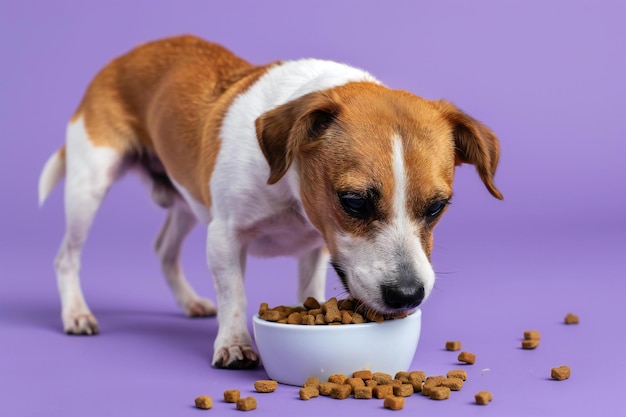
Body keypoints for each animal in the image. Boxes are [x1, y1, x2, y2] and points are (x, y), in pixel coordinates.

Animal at [37, 35, 502, 368]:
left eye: (437, 207)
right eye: (354, 202)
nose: (408, 295)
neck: (289, 193)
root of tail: (127, 55)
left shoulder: (316, 247)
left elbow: (308, 289)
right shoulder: (224, 238)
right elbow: (235, 296)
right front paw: (234, 344)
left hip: (187, 200)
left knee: (164, 249)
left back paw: (188, 301)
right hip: (89, 187)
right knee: (65, 257)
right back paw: (76, 313)